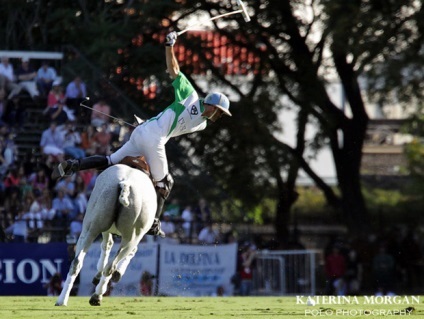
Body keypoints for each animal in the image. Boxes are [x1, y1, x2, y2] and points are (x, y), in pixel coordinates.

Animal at [55, 165, 156, 308]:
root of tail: (125, 184)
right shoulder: (123, 234)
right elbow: (113, 248)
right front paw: (110, 274)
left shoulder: (107, 230)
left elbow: (107, 245)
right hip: (131, 237)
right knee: (112, 264)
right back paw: (97, 295)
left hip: (91, 228)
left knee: (77, 261)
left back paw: (62, 300)